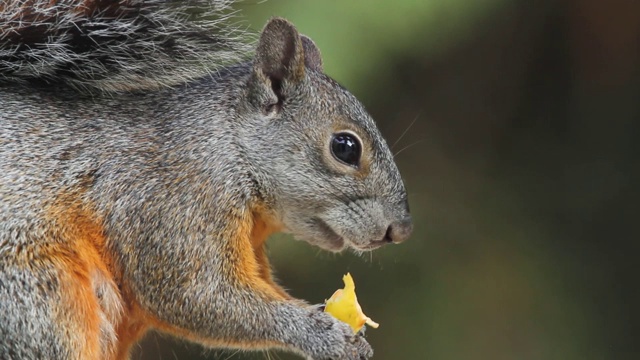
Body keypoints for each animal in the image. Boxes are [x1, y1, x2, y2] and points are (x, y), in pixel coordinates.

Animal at [0, 0, 412, 360]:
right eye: (345, 147)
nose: (402, 230)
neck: (231, 150)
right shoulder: (175, 202)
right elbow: (199, 296)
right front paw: (324, 335)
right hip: (42, 299)